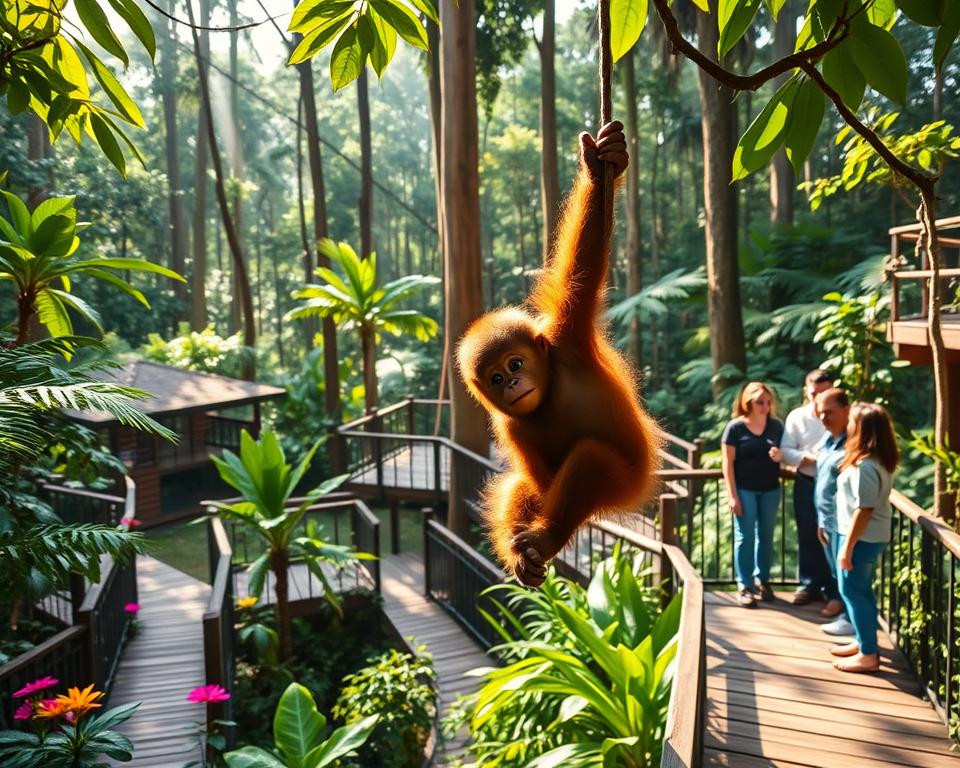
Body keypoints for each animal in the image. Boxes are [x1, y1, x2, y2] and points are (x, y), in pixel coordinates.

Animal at [457, 120, 660, 588]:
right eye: (496, 378)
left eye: (515, 363)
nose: (513, 384)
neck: (549, 392)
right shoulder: (510, 427)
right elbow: (538, 483)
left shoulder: (568, 335)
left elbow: (584, 264)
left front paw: (602, 164)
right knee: (531, 483)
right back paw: (529, 556)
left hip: (627, 480)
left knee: (590, 460)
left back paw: (546, 538)